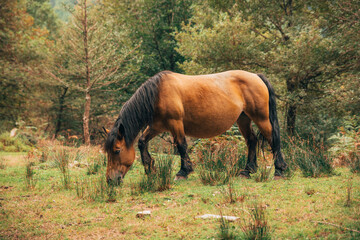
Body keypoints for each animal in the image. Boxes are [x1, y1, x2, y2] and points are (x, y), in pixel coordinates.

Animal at [104, 70, 286, 183]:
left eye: (117, 151)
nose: (111, 180)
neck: (158, 93)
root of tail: (256, 76)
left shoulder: (175, 123)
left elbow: (181, 146)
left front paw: (183, 172)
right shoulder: (157, 126)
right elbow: (142, 142)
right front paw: (150, 169)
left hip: (261, 118)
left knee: (273, 140)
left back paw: (279, 171)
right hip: (243, 119)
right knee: (252, 141)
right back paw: (247, 171)